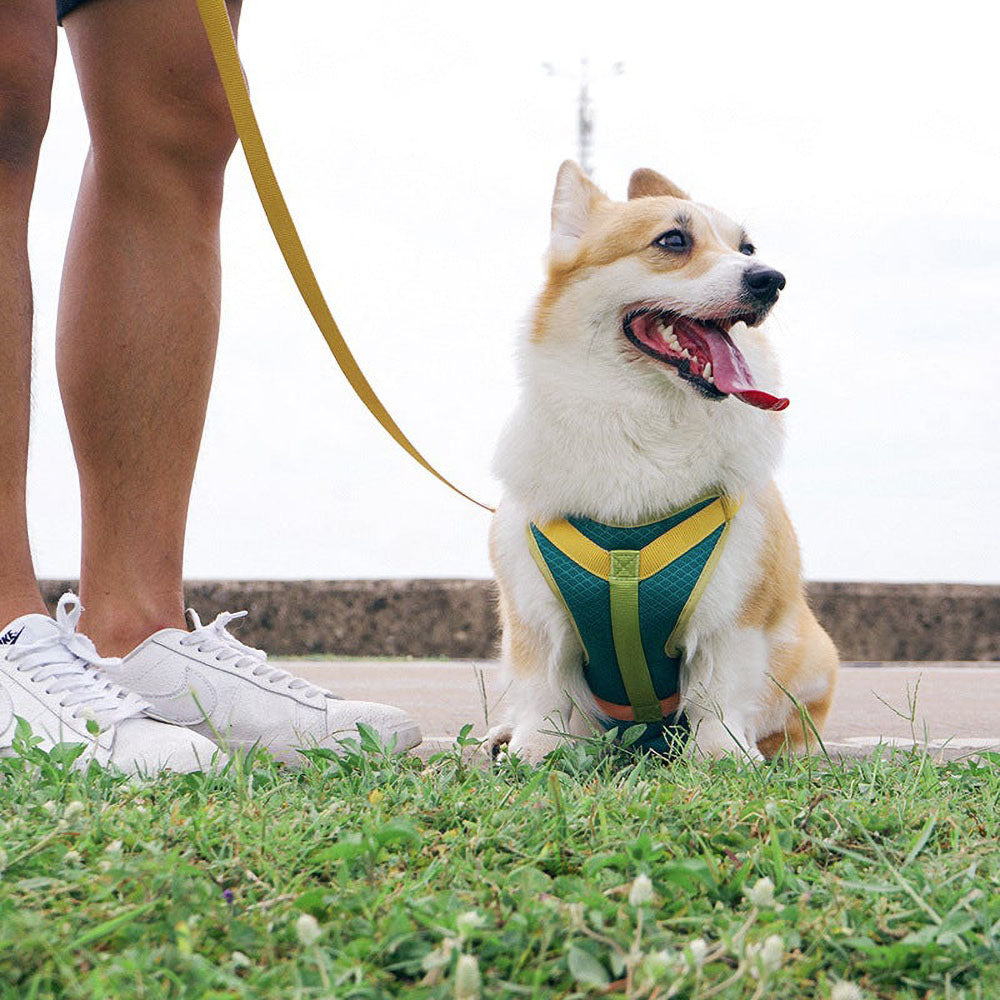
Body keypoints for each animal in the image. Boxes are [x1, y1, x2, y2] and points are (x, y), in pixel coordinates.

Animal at [488, 160, 840, 760]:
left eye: (747, 247)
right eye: (673, 241)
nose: (770, 279)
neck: (649, 425)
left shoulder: (734, 615)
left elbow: (720, 695)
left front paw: (723, 757)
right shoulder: (533, 615)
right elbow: (543, 692)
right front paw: (534, 750)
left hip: (814, 657)